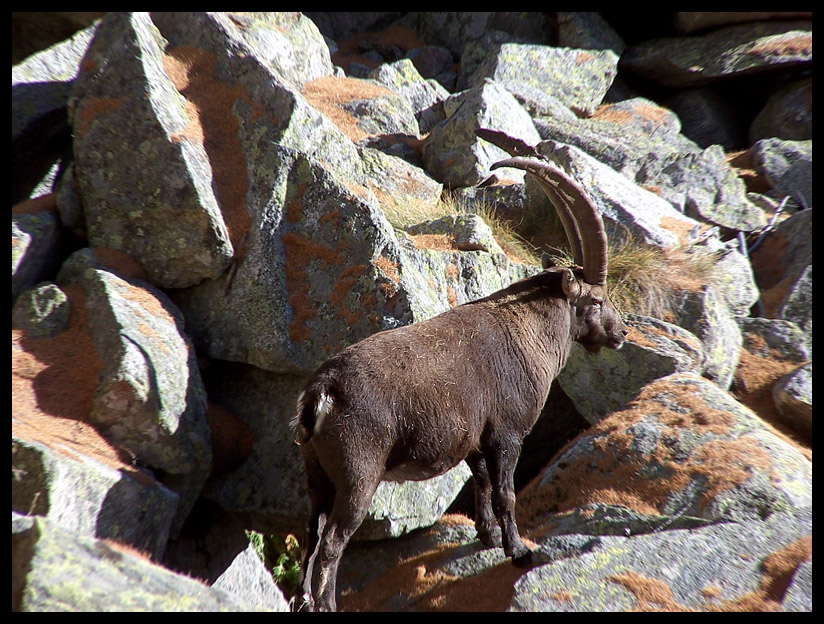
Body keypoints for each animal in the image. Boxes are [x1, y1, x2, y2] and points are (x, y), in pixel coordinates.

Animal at [292, 129, 628, 612]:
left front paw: (486, 536)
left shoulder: (475, 438)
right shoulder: (507, 434)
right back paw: (326, 604)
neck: (530, 331)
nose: (621, 332)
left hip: (316, 472)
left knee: (310, 529)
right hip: (358, 475)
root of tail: (322, 392)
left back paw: (301, 597)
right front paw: (518, 551)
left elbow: (482, 483)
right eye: (596, 299)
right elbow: (505, 492)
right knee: (334, 541)